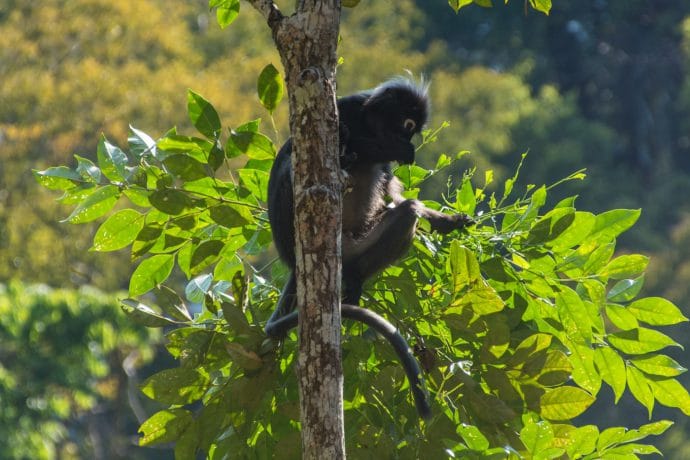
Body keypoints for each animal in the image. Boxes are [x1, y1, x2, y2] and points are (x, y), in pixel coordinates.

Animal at [264, 78, 473, 419]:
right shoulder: (340, 111)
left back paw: (354, 279)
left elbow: (393, 192)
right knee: (295, 161)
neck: (365, 123)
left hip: (356, 244)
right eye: (407, 125)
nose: (406, 140)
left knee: (408, 211)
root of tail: (294, 260)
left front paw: (447, 221)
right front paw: (390, 150)